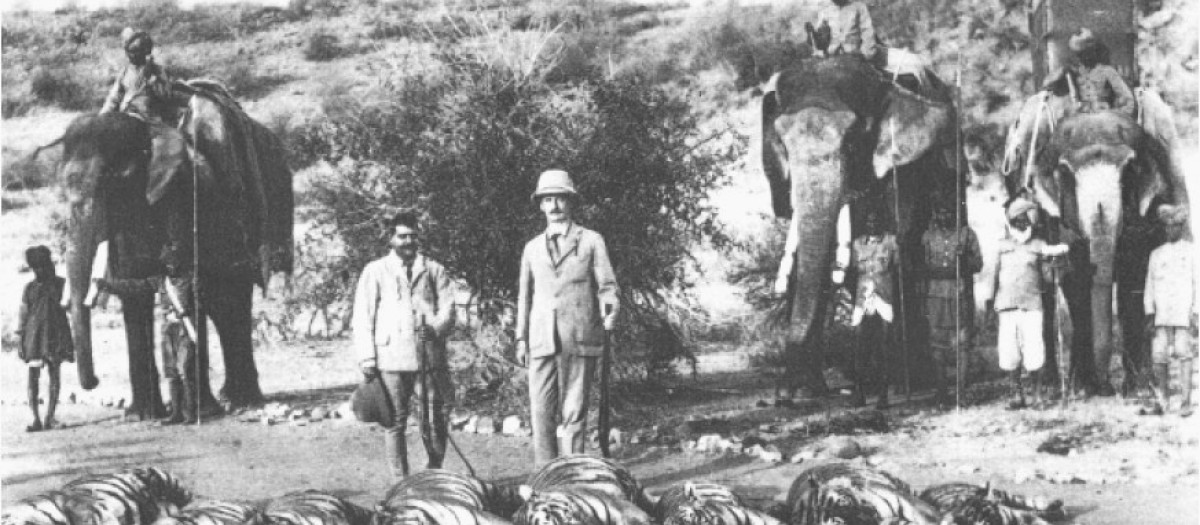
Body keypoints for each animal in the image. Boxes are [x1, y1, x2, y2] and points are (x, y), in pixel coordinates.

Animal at [41, 91, 294, 419]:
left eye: (114, 177)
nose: (93, 382)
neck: (149, 131)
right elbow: (134, 291)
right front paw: (141, 415)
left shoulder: (184, 196)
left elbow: (188, 282)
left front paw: (200, 412)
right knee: (220, 303)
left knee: (231, 298)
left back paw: (240, 402)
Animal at [763, 55, 960, 400]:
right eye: (783, 144)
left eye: (853, 141)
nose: (782, 393)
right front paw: (807, 392)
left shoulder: (903, 168)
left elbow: (898, 242)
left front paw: (886, 382)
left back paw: (909, 380)